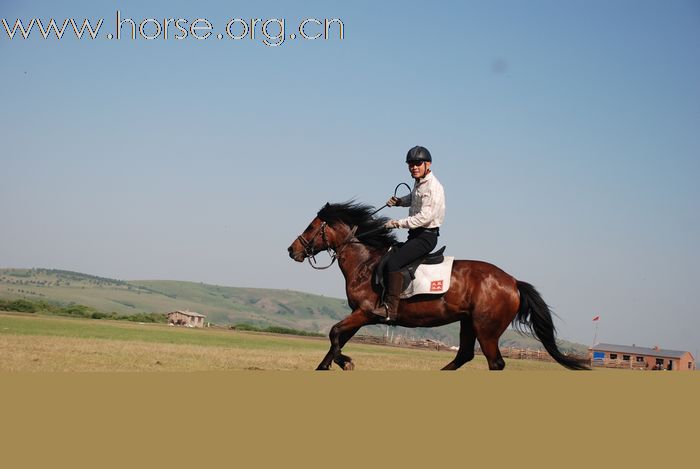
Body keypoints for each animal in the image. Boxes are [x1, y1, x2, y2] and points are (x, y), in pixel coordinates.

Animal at [288, 201, 588, 370]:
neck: (366, 263)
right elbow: (336, 339)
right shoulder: (359, 316)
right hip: (469, 324)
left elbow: (334, 333)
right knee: (464, 356)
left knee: (495, 363)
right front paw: (329, 366)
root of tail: (513, 281)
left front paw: (346, 363)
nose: (292, 250)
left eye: (311, 226)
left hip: (487, 330)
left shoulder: (366, 313)